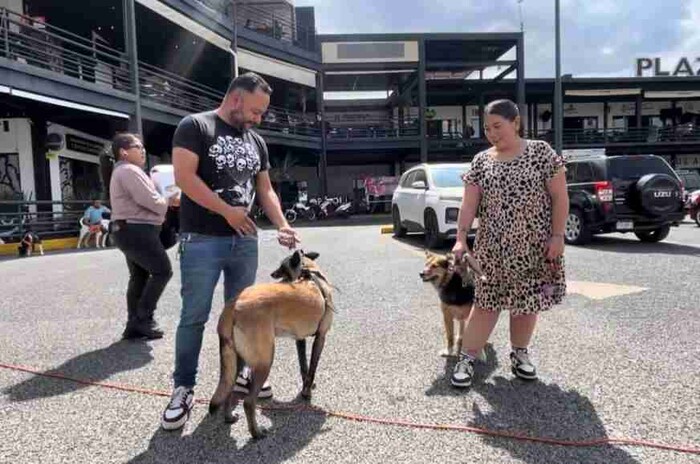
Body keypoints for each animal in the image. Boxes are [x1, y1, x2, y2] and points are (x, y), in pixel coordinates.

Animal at [208, 250, 334, 438]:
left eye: (282, 267)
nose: (273, 274)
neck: (309, 274)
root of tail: (233, 304)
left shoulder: (300, 340)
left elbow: (304, 368)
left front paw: (306, 388)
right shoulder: (320, 338)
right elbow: (311, 369)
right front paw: (307, 392)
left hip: (236, 360)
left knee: (229, 389)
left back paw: (229, 417)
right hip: (265, 361)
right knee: (248, 402)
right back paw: (256, 433)